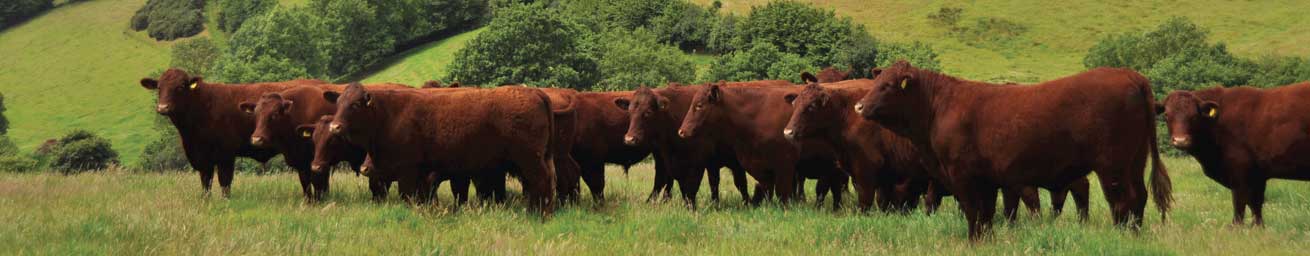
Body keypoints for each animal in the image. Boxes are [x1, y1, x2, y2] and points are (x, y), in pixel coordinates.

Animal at [139, 67, 327, 198]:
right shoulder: (202, 157)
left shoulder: (226, 154)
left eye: (179, 87)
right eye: (159, 87)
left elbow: (225, 182)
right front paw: (206, 200)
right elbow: (206, 182)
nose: (163, 107)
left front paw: (225, 201)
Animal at [327, 83, 558, 213]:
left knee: (540, 181)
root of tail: (535, 93)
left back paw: (538, 213)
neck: (389, 115)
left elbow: (407, 196)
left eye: (355, 105)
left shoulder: (408, 170)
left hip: (530, 159)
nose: (334, 126)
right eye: (338, 103)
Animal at [854, 60, 1173, 240]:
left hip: (1113, 165)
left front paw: (974, 241)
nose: (858, 106)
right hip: (1135, 160)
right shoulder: (987, 179)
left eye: (888, 85)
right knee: (1140, 197)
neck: (938, 107)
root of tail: (1132, 76)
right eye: (876, 80)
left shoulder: (963, 175)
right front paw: (986, 240)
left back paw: (1122, 237)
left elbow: (973, 211)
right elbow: (986, 213)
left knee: (1122, 201)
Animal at [1163, 82, 1310, 225]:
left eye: (1194, 116)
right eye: (1166, 115)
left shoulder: (1239, 173)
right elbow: (1256, 206)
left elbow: (1239, 207)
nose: (1180, 140)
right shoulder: (1257, 176)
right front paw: (1258, 227)